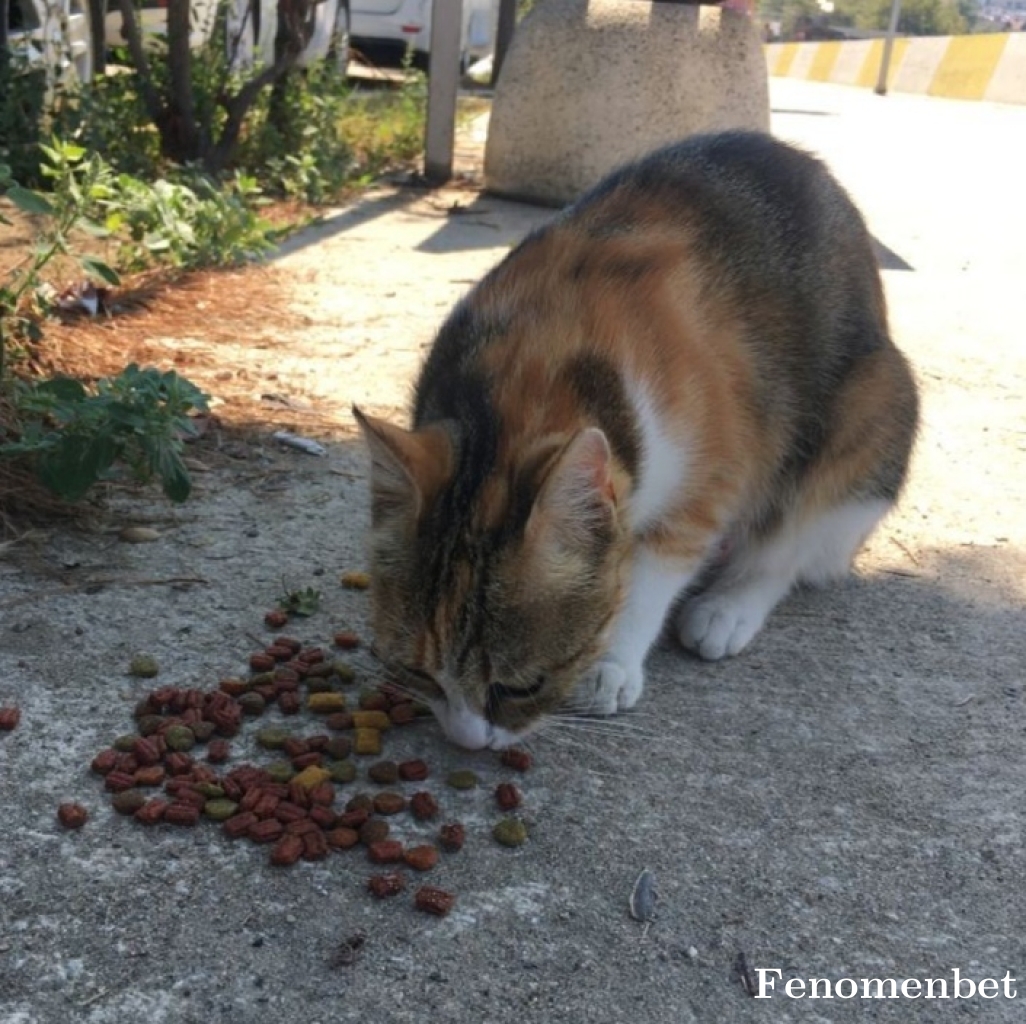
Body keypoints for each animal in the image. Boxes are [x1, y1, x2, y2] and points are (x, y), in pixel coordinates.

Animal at [354, 128, 923, 755]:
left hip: (868, 421)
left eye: (521, 686)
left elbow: (655, 570)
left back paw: (729, 606)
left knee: (789, 545)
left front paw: (613, 662)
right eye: (419, 672)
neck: (526, 365)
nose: (466, 740)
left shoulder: (712, 479)